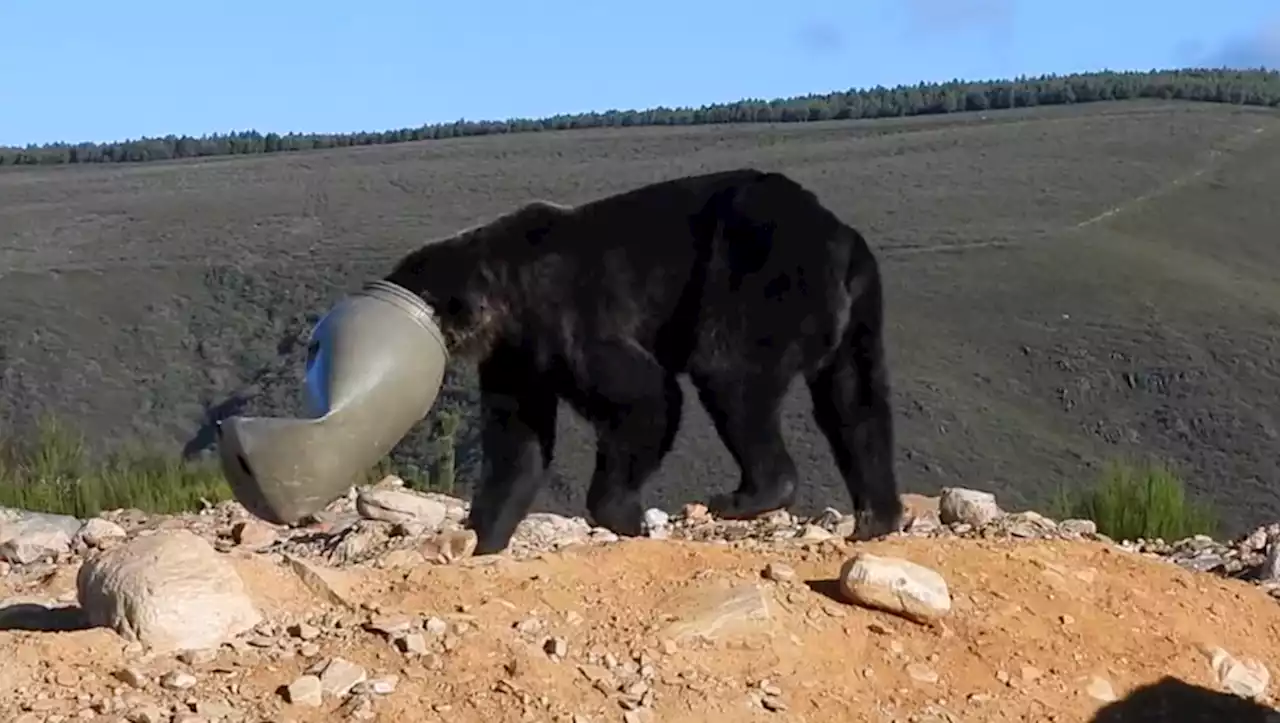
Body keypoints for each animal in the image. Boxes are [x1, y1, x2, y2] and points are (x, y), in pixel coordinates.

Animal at [384, 167, 906, 552]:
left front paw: (622, 514)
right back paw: (876, 518)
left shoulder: (567, 315)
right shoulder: (515, 357)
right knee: (854, 400)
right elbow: (518, 439)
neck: (507, 299)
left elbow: (645, 396)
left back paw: (749, 493)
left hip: (758, 273)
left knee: (730, 373)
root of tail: (839, 235)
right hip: (859, 307)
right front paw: (485, 538)